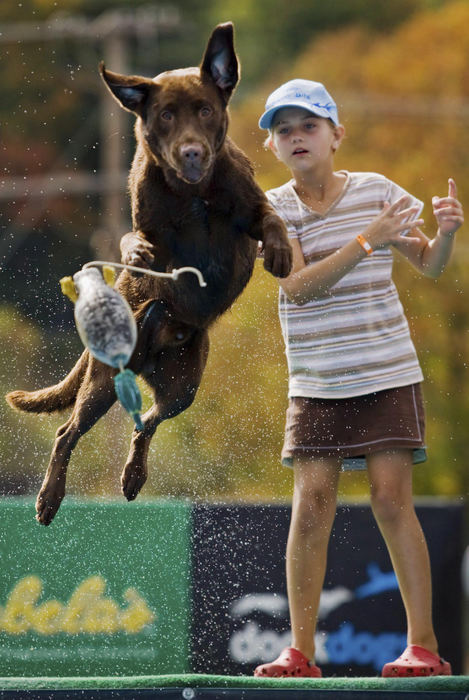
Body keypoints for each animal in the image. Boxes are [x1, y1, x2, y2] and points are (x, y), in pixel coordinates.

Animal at [6, 23, 292, 524]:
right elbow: (133, 242)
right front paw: (136, 252)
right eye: (164, 116)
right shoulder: (148, 225)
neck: (193, 194)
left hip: (185, 386)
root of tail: (148, 359)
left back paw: (133, 476)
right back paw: (49, 498)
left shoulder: (251, 206)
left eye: (204, 109)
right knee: (68, 432)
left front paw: (279, 252)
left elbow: (271, 219)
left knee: (149, 423)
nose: (191, 151)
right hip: (102, 384)